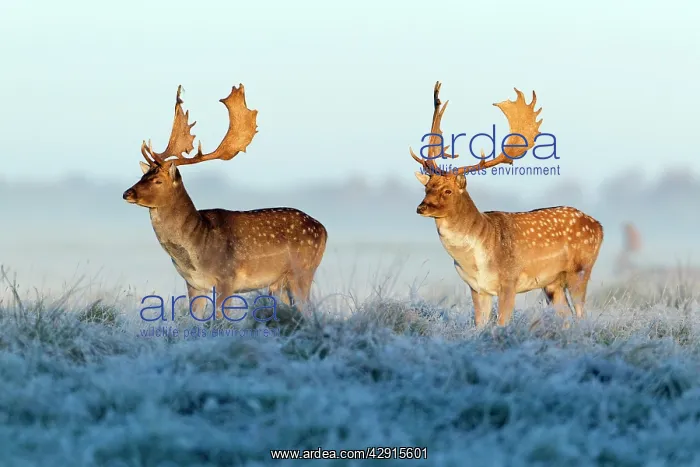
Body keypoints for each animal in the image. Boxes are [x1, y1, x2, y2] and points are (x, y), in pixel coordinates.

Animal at [122, 84, 328, 319]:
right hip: (280, 282)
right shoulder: (193, 284)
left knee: (309, 309)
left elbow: (221, 318)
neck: (197, 252)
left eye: (157, 180)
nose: (127, 193)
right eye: (143, 175)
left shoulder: (227, 279)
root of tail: (324, 229)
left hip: (303, 270)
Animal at [409, 82, 604, 327]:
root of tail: (600, 226)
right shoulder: (476, 288)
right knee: (566, 315)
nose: (421, 207)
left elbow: (502, 323)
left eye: (448, 190)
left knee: (580, 313)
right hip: (552, 283)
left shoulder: (510, 280)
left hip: (581, 270)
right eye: (427, 188)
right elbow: (479, 325)